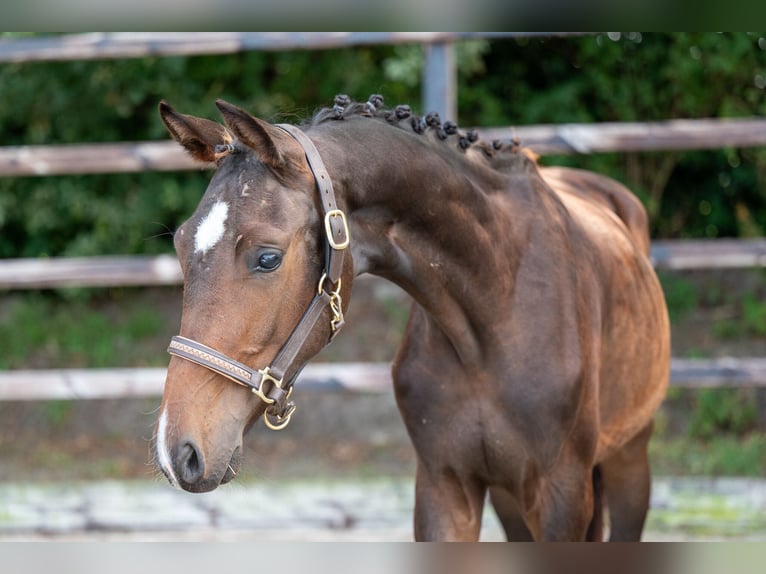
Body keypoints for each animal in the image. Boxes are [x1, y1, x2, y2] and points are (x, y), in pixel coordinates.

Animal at [156, 92, 672, 544]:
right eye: (180, 244)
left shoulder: (560, 495)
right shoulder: (444, 486)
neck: (492, 317)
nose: (176, 451)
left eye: (267, 258)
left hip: (630, 457)